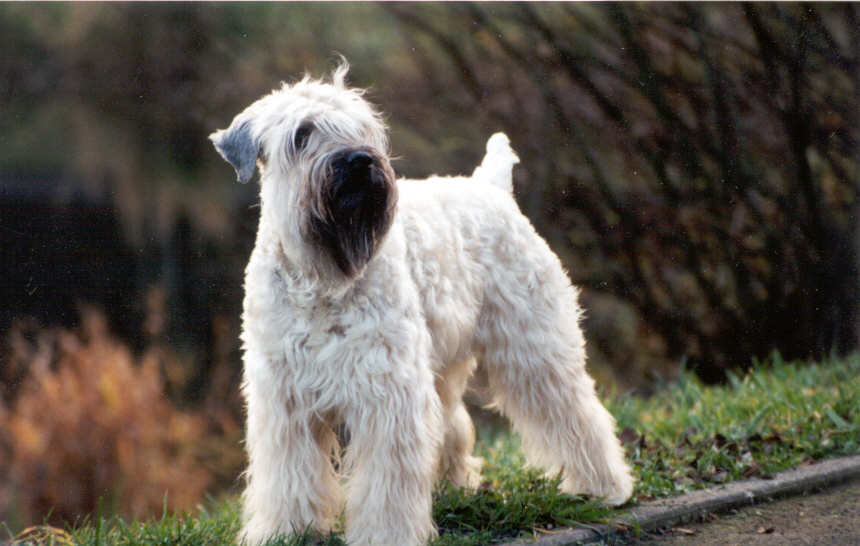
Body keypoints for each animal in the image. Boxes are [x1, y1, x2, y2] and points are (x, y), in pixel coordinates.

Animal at [212, 65, 636, 544]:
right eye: (301, 134)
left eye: (363, 128)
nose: (358, 161)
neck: (323, 282)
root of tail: (491, 188)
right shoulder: (285, 400)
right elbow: (289, 476)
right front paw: (288, 532)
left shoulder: (387, 393)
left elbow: (386, 487)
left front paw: (385, 535)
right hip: (441, 368)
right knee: (454, 425)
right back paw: (457, 484)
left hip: (536, 350)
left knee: (576, 413)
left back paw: (604, 487)